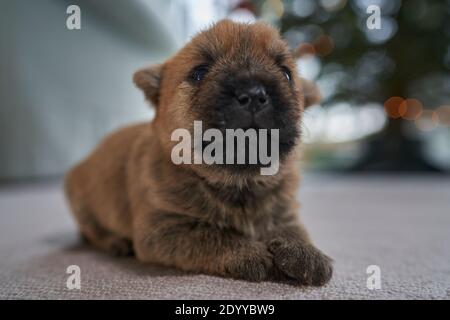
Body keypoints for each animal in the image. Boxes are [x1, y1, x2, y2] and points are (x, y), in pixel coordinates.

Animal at [67, 19, 334, 284]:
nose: (254, 94)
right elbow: (212, 236)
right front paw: (250, 252)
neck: (238, 183)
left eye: (287, 73)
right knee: (90, 231)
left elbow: (295, 229)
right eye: (199, 72)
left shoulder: (285, 210)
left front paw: (305, 252)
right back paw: (115, 242)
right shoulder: (161, 229)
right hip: (81, 202)